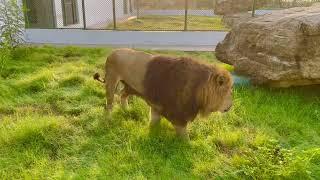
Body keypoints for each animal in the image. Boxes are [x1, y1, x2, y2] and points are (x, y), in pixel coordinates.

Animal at [94, 48, 234, 137]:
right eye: (227, 92)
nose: (231, 106)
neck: (200, 88)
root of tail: (111, 53)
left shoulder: (158, 105)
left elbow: (154, 121)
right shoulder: (178, 113)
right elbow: (183, 135)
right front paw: (186, 146)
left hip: (130, 86)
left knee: (122, 95)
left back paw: (127, 110)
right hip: (111, 81)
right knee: (109, 103)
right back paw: (108, 119)